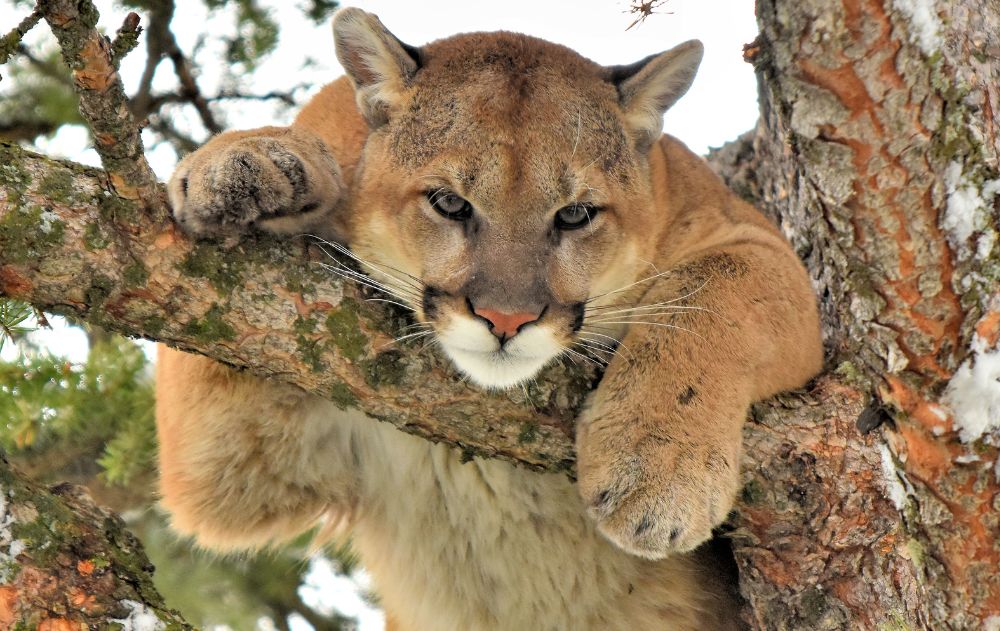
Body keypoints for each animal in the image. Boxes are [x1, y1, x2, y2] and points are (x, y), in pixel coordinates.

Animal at [156, 7, 824, 628]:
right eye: (450, 203)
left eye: (575, 214)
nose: (506, 318)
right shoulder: (233, 467)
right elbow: (210, 319)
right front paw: (249, 165)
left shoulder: (757, 242)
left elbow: (713, 292)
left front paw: (657, 473)